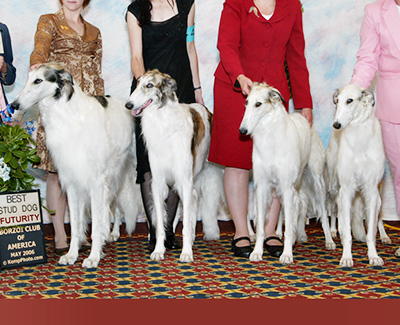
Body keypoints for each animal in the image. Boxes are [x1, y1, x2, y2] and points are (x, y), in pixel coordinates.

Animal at [11, 62, 141, 266]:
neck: (68, 116)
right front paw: (71, 254)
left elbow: (95, 225)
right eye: (28, 79)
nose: (13, 105)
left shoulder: (96, 181)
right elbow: (75, 224)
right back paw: (111, 232)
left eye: (38, 80)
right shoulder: (72, 182)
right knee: (113, 204)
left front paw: (93, 257)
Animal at [126, 69, 214, 262]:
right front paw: (158, 250)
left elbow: (185, 218)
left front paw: (187, 253)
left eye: (149, 85)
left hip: (193, 172)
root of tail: (202, 108)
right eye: (138, 83)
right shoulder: (158, 181)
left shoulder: (184, 178)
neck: (162, 121)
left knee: (191, 200)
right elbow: (160, 221)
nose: (128, 105)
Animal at [239, 82, 336, 264]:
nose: (242, 130)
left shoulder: (287, 186)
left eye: (258, 104)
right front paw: (257, 252)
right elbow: (261, 225)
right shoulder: (263, 186)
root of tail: (304, 119)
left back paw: (329, 240)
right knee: (298, 206)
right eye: (246, 102)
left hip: (316, 181)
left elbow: (289, 227)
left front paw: (287, 254)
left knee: (322, 213)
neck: (270, 137)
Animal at [330, 83, 386, 266]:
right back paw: (334, 231)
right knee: (336, 210)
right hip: (335, 186)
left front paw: (374, 256)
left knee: (378, 217)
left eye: (350, 100)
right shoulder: (346, 188)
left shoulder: (371, 188)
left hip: (378, 193)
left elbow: (371, 233)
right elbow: (347, 232)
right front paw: (347, 257)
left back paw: (385, 236)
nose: (336, 124)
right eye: (337, 101)